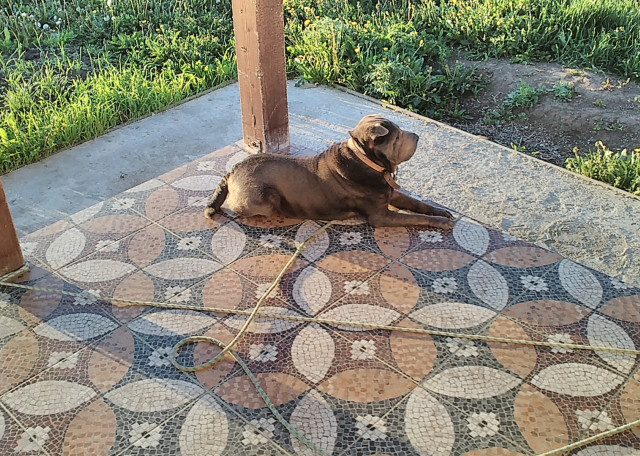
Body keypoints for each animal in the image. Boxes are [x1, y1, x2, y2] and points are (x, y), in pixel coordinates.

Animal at [204, 114, 455, 229]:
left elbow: (416, 204)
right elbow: (414, 216)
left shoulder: (390, 193)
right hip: (266, 197)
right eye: (398, 137)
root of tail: (231, 172)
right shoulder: (380, 216)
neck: (366, 160)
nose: (418, 136)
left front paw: (442, 213)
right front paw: (441, 223)